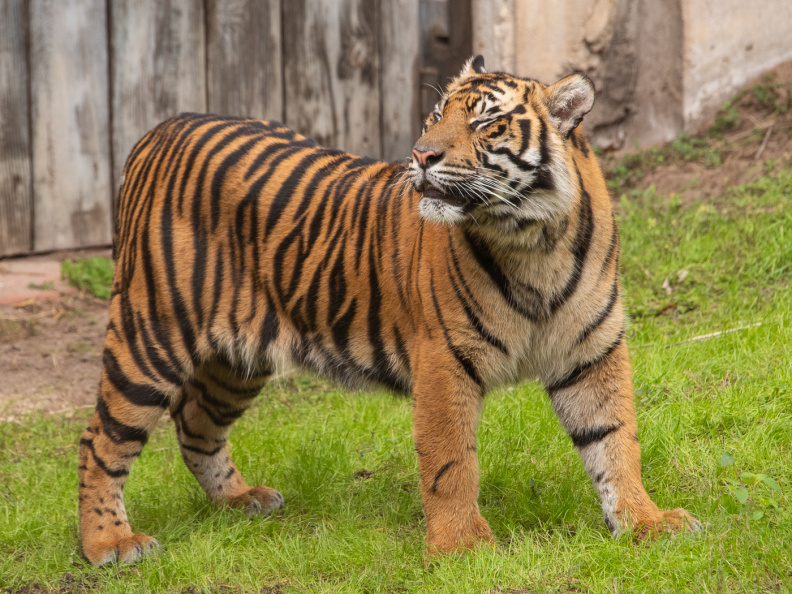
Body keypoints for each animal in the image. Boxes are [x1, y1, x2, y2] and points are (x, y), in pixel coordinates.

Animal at [78, 55, 699, 565]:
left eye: (485, 124)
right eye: (435, 115)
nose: (421, 155)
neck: (534, 240)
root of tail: (164, 126)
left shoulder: (593, 351)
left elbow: (616, 441)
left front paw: (646, 523)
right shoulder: (445, 359)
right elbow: (451, 463)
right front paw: (461, 548)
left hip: (238, 359)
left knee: (195, 424)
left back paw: (239, 500)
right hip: (151, 336)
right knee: (100, 440)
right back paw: (109, 544)